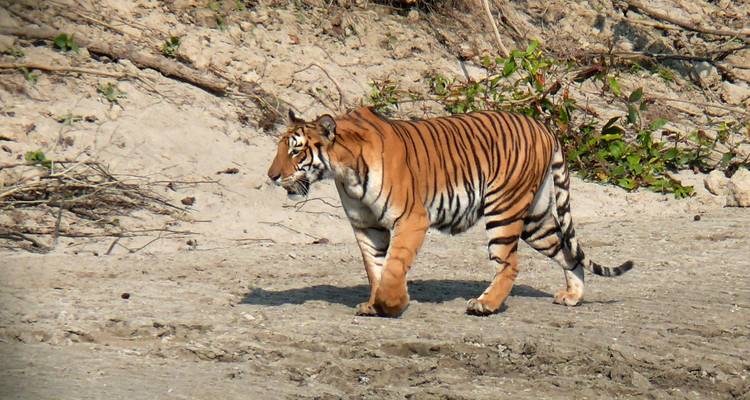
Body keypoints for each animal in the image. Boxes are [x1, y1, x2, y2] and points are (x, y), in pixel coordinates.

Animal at [267, 106, 633, 317]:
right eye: (279, 148)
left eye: (296, 151)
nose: (271, 176)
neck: (344, 172)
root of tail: (543, 127)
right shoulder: (365, 226)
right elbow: (375, 269)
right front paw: (373, 305)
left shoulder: (411, 219)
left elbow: (393, 268)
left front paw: (392, 305)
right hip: (535, 217)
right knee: (567, 252)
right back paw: (572, 297)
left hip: (504, 209)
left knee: (510, 263)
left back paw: (485, 305)